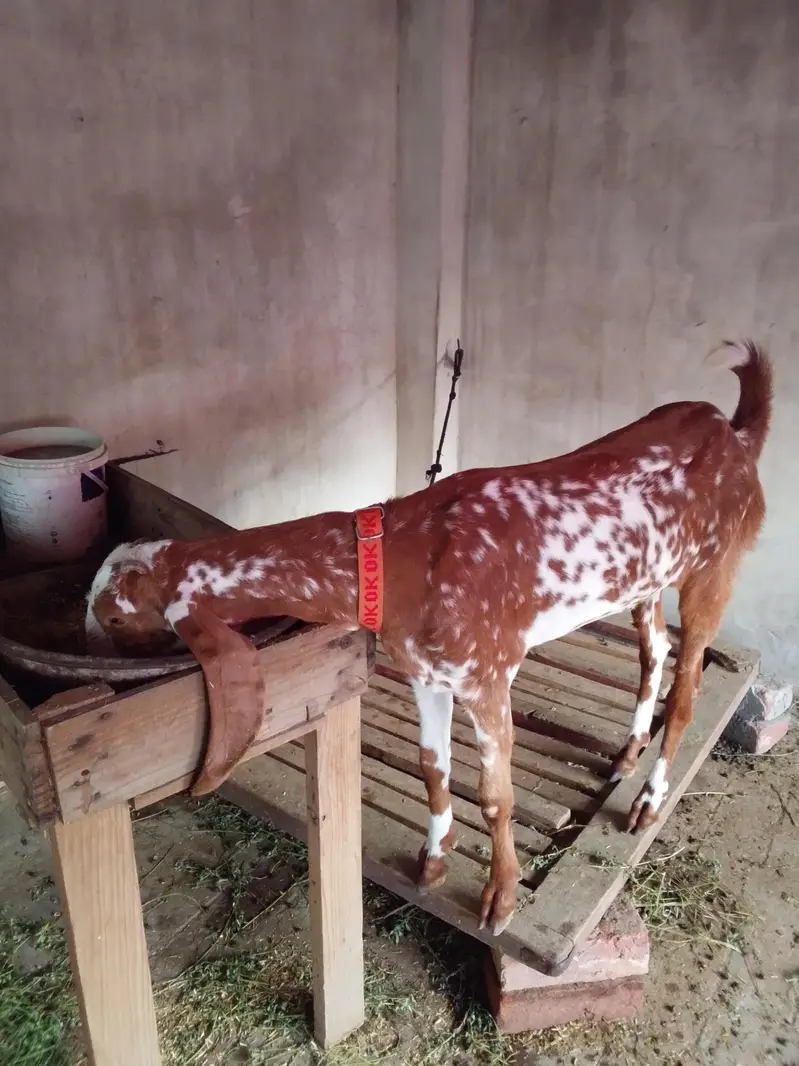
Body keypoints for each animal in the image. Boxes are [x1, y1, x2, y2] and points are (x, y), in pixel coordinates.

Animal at [86, 339, 772, 936]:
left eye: (114, 616)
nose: (89, 643)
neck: (404, 559)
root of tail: (734, 431)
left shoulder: (488, 676)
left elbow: (495, 796)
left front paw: (500, 898)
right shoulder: (426, 673)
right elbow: (432, 768)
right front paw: (433, 859)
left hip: (715, 570)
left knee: (687, 687)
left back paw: (648, 800)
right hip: (644, 581)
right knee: (653, 649)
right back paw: (629, 751)